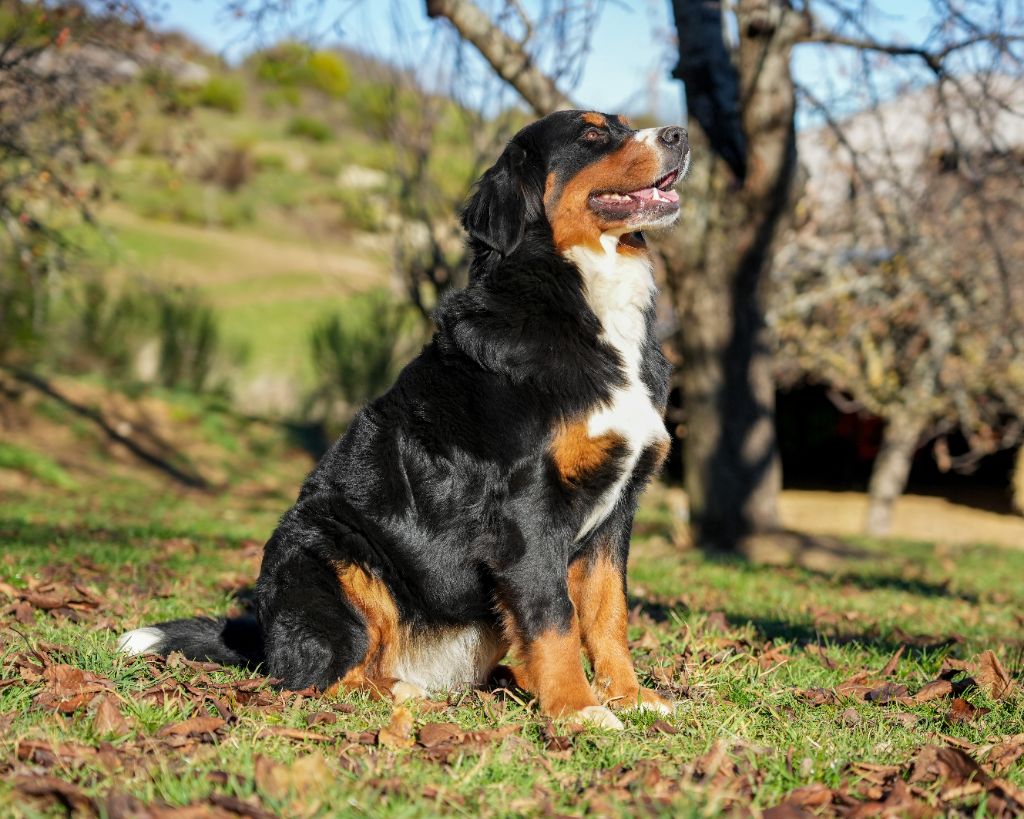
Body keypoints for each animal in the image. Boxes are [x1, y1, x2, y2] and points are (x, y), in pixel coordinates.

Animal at [121, 108, 696, 728]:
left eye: (623, 125)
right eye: (591, 134)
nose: (679, 135)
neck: (583, 300)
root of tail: (266, 638)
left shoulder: (618, 509)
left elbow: (608, 614)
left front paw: (631, 698)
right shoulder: (529, 510)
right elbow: (554, 618)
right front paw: (577, 709)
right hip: (329, 552)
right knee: (319, 676)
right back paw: (398, 691)